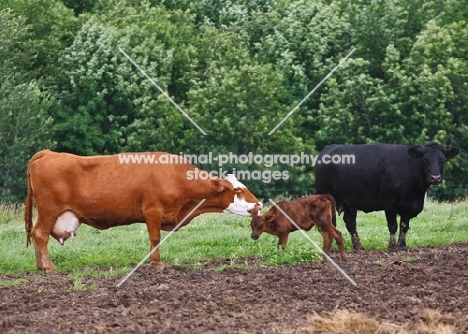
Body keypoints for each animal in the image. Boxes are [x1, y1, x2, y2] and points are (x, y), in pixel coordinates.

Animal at [24, 150, 264, 272]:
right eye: (238, 190)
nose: (259, 205)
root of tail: (48, 153)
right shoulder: (152, 211)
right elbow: (155, 238)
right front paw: (157, 264)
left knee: (36, 235)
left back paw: (39, 266)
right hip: (49, 211)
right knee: (40, 234)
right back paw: (49, 267)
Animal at [316, 143, 458, 250]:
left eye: (442, 160)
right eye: (425, 160)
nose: (435, 178)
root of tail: (328, 148)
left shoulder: (409, 206)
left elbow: (404, 226)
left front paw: (402, 245)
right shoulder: (389, 203)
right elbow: (393, 225)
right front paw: (392, 246)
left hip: (350, 201)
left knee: (350, 222)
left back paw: (358, 246)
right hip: (326, 198)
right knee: (329, 223)